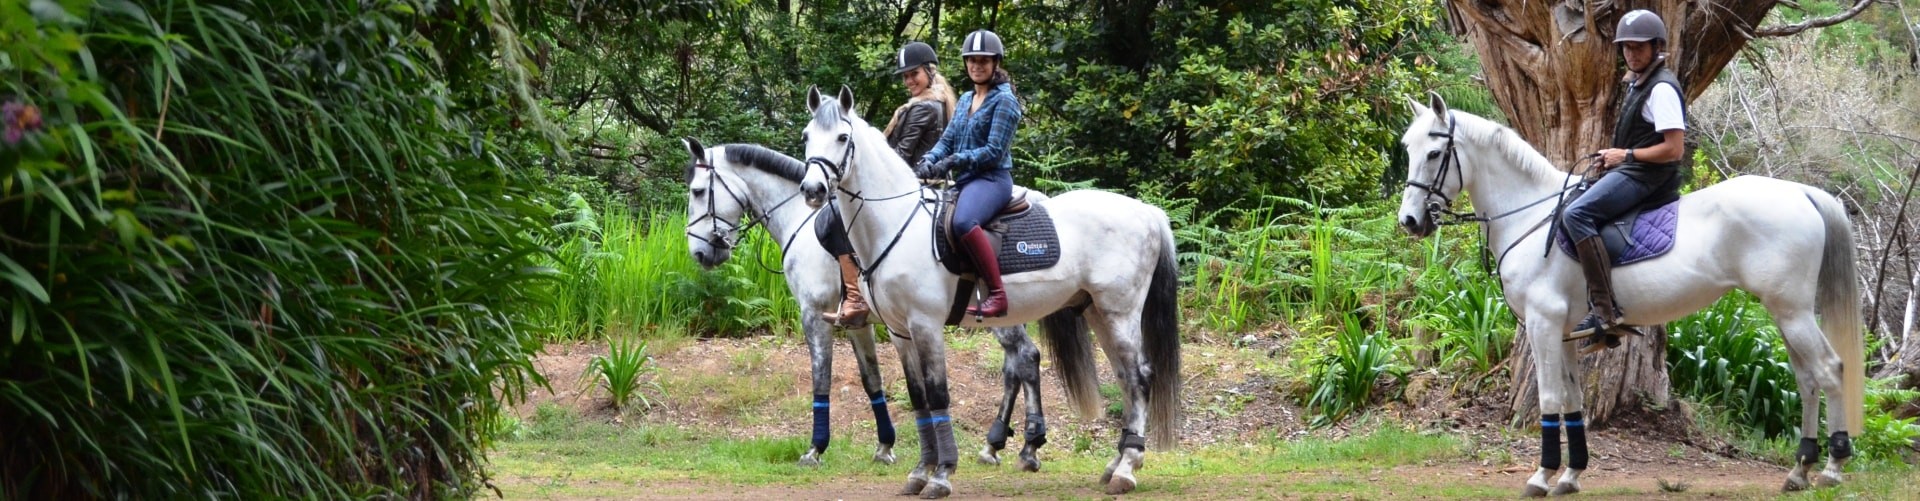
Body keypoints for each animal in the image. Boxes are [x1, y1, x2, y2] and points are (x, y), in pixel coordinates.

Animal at [679, 137, 1052, 468]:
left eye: (697, 191)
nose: (699, 253)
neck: (799, 219)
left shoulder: (814, 314)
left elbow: (821, 377)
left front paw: (815, 448)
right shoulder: (856, 324)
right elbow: (871, 378)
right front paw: (885, 445)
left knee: (1025, 357)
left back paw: (1027, 444)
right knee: (1015, 364)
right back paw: (996, 444)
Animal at [794, 86, 1182, 495]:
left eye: (842, 137)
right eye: (806, 136)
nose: (812, 190)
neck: (896, 223)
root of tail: (1146, 211)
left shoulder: (925, 325)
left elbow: (938, 394)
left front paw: (942, 474)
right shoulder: (901, 332)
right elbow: (918, 398)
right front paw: (920, 472)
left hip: (1120, 312)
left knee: (1139, 376)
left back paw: (1127, 468)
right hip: (1096, 311)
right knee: (1124, 377)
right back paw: (1115, 463)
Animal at [1397, 91, 1858, 491]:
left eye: (1434, 154)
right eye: (1407, 150)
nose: (1410, 221)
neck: (1531, 214)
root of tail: (1800, 191)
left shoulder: (1543, 324)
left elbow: (1550, 397)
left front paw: (1542, 476)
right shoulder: (1565, 333)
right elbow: (1573, 399)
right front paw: (1571, 475)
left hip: (1792, 312)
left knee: (1829, 370)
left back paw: (1833, 467)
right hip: (1786, 313)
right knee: (1807, 379)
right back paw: (1800, 469)